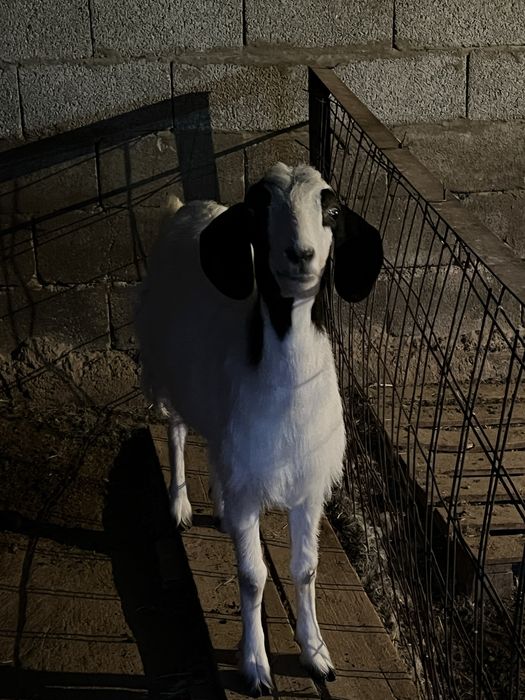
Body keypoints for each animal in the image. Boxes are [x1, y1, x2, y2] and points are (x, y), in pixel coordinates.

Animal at [136, 163, 383, 695]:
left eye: (332, 211)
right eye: (257, 209)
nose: (300, 255)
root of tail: (185, 209)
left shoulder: (307, 485)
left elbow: (306, 570)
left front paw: (316, 653)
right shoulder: (253, 484)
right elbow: (252, 577)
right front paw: (254, 665)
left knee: (213, 447)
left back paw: (218, 507)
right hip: (165, 367)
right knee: (178, 430)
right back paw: (180, 504)